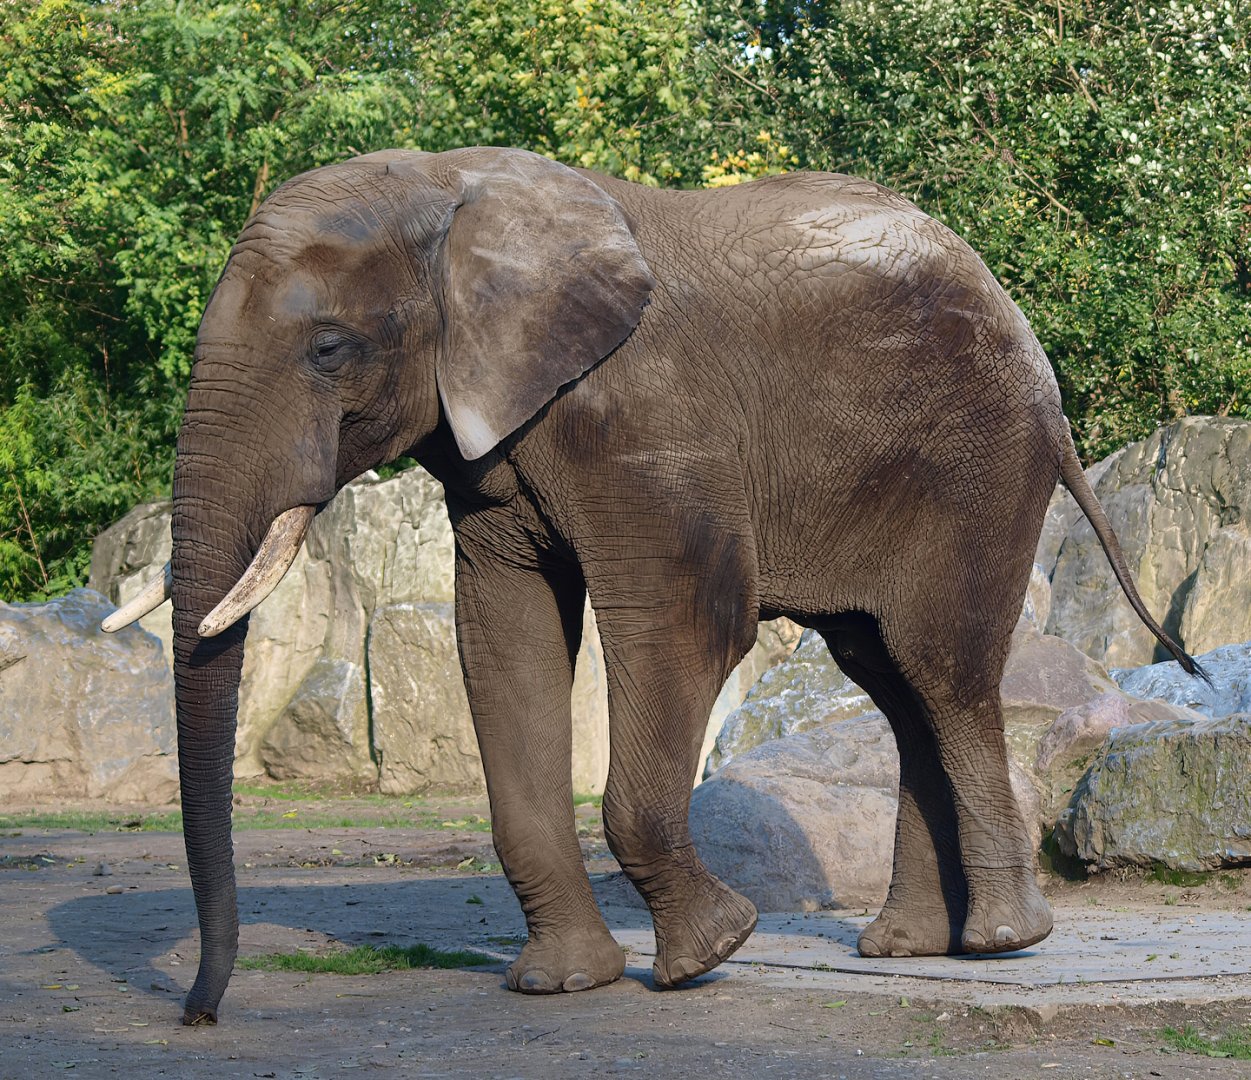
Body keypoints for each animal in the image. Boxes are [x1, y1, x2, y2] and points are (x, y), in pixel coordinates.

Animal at [103, 146, 1198, 1025]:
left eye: (330, 349)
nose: (199, 1014)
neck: (453, 189)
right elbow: (502, 635)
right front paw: (559, 986)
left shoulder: (646, 418)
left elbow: (688, 620)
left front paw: (710, 954)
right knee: (887, 676)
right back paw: (906, 948)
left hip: (979, 464)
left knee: (941, 669)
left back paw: (1004, 943)